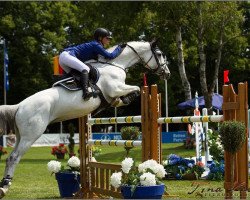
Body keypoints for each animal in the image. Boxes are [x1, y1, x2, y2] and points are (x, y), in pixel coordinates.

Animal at [0, 39, 170, 197]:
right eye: (160, 54)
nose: (167, 73)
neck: (115, 65)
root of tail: (19, 106)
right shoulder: (116, 88)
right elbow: (137, 88)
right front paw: (126, 98)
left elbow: (124, 96)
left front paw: (120, 101)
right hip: (31, 135)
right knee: (14, 157)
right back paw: (5, 186)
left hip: (21, 136)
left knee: (10, 157)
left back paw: (4, 184)